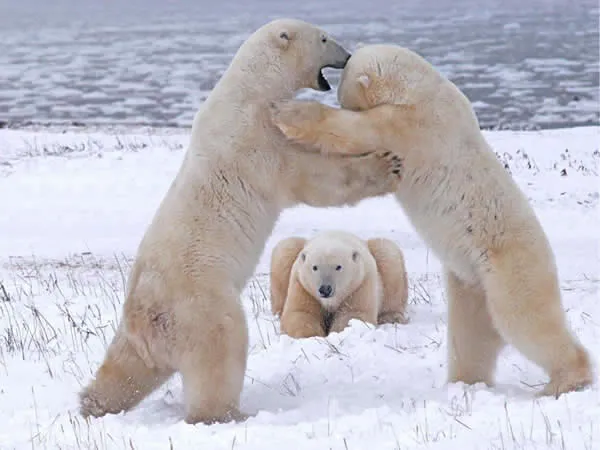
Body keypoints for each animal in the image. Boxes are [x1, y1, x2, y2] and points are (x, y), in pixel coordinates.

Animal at [270, 232, 408, 338]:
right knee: (285, 249)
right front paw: (311, 336)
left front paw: (338, 334)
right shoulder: (302, 285)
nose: (325, 289)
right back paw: (278, 313)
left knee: (388, 254)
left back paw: (392, 317)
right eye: (315, 267)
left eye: (338, 267)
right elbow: (301, 312)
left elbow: (353, 313)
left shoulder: (360, 283)